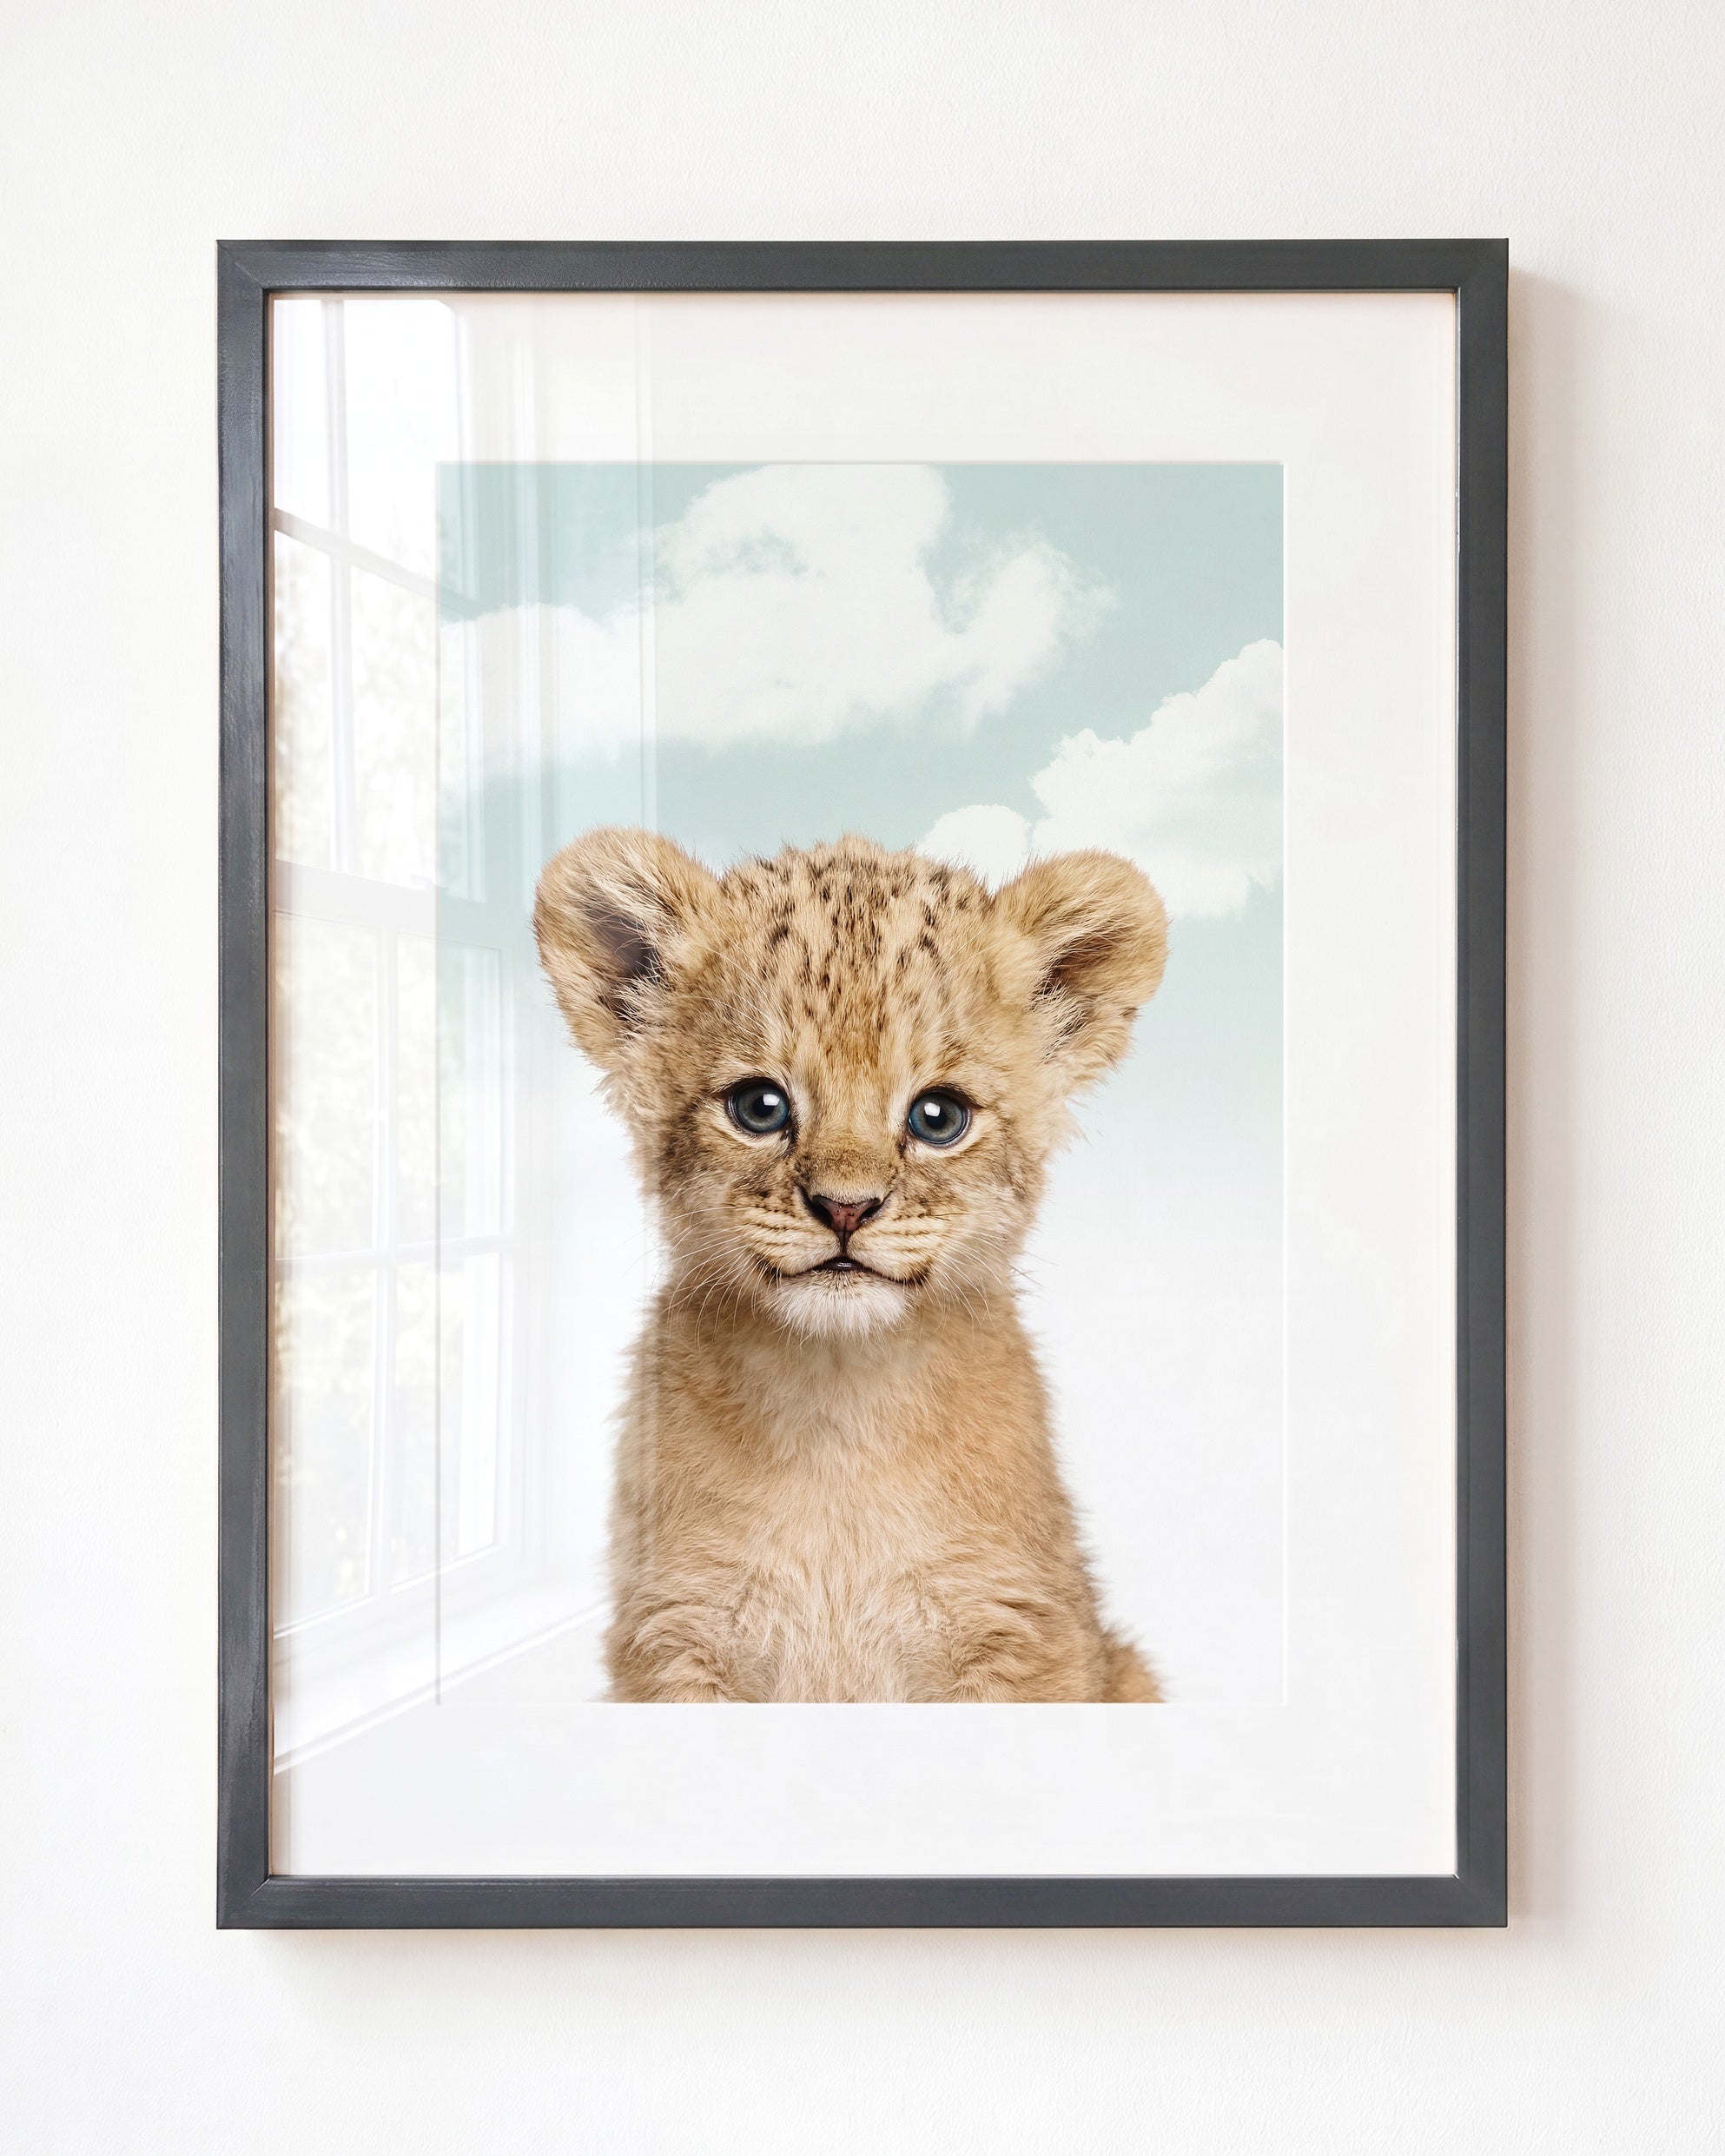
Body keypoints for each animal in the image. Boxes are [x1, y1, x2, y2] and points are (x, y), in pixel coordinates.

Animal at [533, 829, 1168, 1702]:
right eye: (759, 1107)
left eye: (939, 1117)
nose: (845, 1208)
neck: (838, 1412)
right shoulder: (677, 1633)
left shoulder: (1019, 1630)